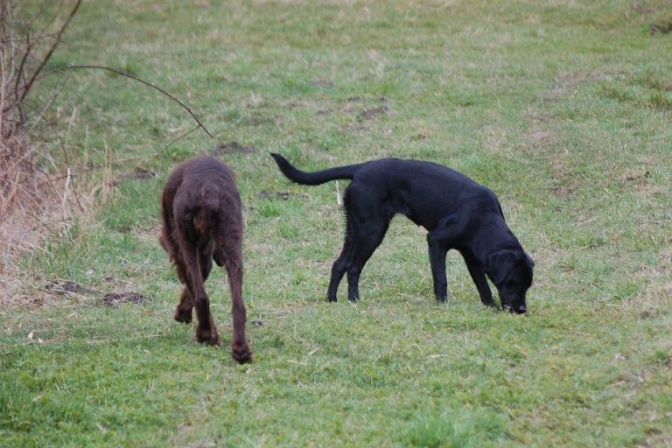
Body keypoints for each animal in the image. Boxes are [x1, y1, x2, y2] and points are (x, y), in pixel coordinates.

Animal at [160, 156, 252, 362]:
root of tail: (209, 188)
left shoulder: (181, 247)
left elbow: (193, 289)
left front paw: (184, 315)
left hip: (186, 242)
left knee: (201, 296)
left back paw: (205, 334)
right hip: (232, 242)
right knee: (237, 304)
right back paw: (240, 350)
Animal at [270, 154, 532, 316]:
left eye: (527, 286)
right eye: (513, 282)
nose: (522, 310)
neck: (482, 217)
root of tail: (361, 168)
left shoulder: (472, 257)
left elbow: (483, 285)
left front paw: (491, 307)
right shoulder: (436, 241)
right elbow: (441, 278)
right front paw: (442, 305)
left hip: (355, 230)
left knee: (339, 264)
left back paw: (333, 300)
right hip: (372, 231)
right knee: (353, 267)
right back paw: (354, 300)